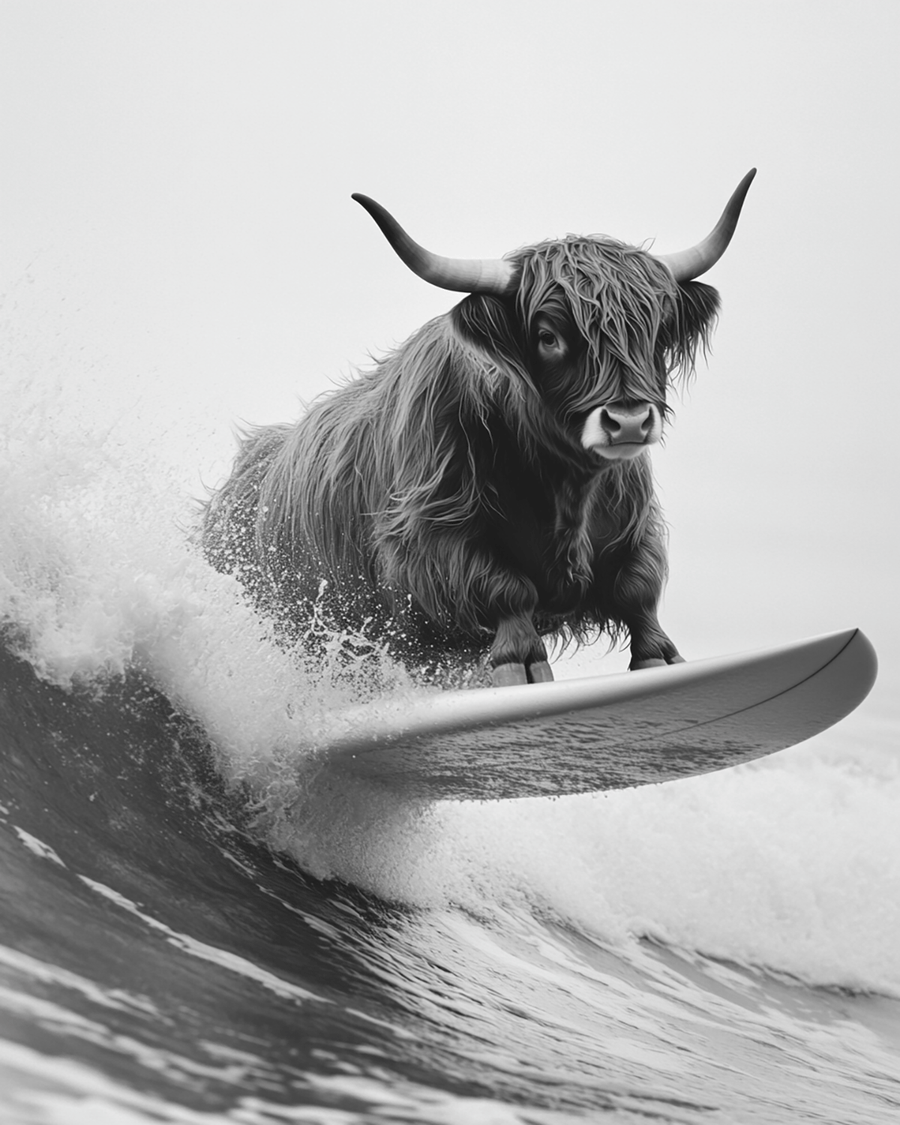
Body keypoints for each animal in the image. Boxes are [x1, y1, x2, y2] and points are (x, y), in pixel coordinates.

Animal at [203, 171, 756, 687]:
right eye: (548, 336)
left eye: (656, 332)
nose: (629, 421)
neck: (564, 488)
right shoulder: (426, 538)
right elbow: (502, 586)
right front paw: (522, 663)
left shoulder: (634, 523)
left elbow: (636, 586)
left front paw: (659, 657)